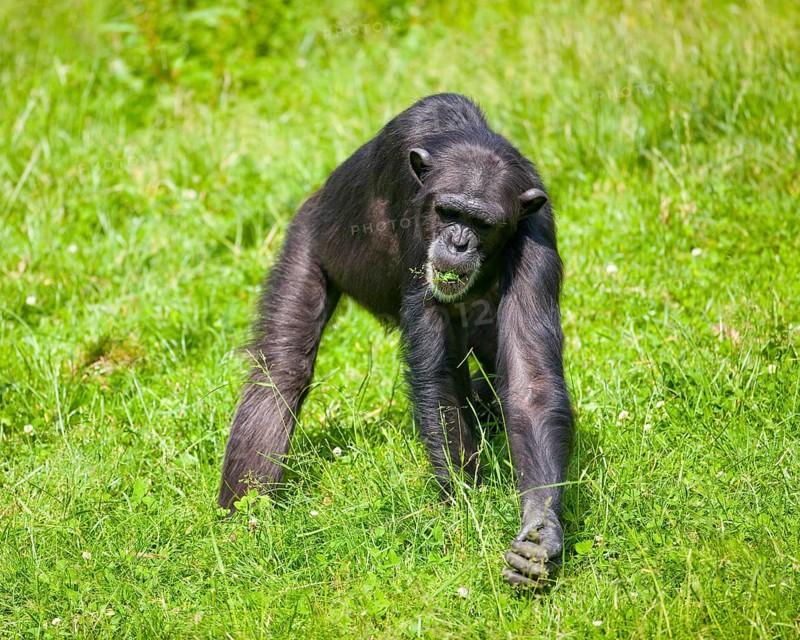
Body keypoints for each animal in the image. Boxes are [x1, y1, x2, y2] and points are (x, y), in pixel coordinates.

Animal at [218, 93, 574, 588]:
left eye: (481, 223)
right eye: (449, 213)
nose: (458, 242)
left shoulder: (537, 236)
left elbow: (531, 382)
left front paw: (541, 528)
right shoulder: (413, 210)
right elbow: (435, 369)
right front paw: (464, 510)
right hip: (307, 236)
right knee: (282, 369)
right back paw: (243, 522)